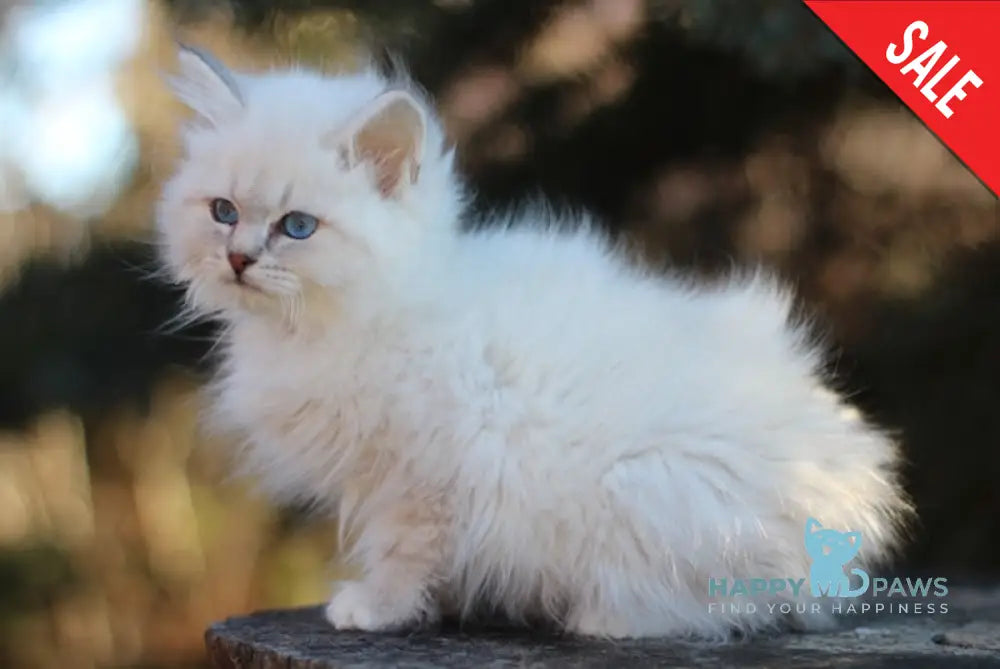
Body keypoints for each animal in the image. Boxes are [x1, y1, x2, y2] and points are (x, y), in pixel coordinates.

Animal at [158, 44, 916, 640]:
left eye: (297, 227)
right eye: (223, 212)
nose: (238, 259)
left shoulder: (418, 479)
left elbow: (400, 553)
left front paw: (374, 609)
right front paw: (443, 604)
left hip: (644, 489)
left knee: (721, 609)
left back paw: (601, 618)